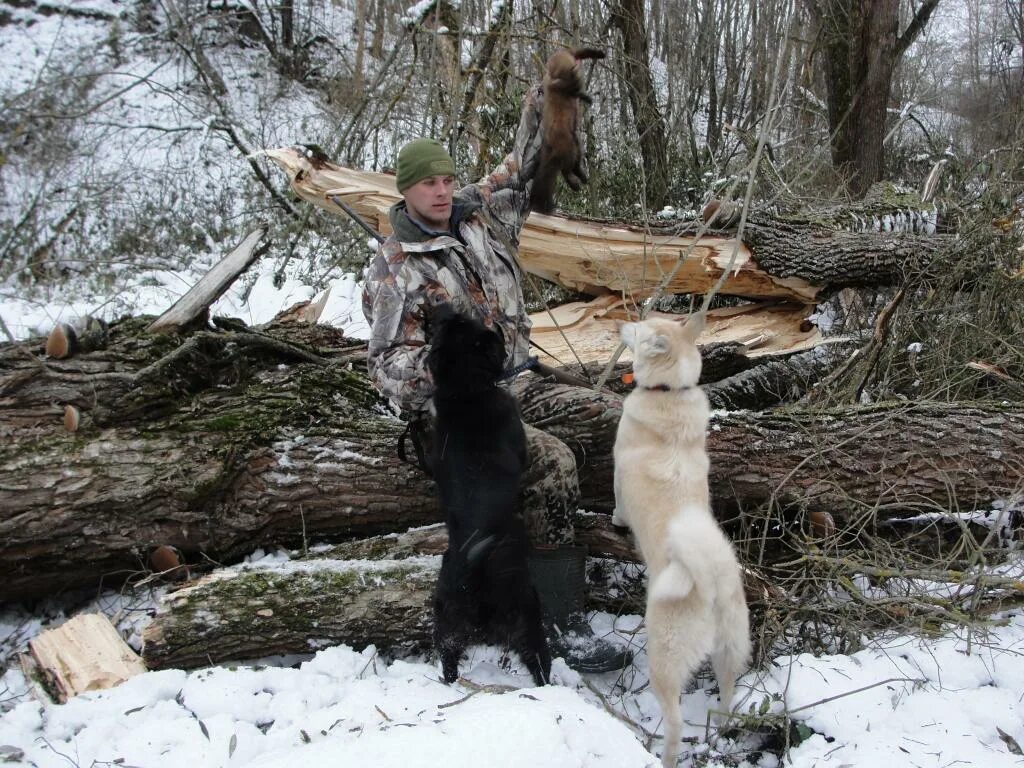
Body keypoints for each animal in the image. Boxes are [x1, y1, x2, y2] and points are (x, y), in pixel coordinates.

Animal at [423, 303, 552, 688]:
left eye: (448, 324)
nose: (441, 306)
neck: (465, 391)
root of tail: (474, 570)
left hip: (447, 625)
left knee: (448, 660)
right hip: (528, 617)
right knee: (540, 664)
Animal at [610, 313, 749, 768]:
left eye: (637, 327)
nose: (620, 321)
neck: (668, 393)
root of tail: (710, 584)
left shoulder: (617, 471)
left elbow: (617, 504)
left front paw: (616, 521)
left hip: (664, 662)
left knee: (673, 723)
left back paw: (664, 756)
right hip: (731, 651)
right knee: (728, 694)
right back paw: (720, 728)